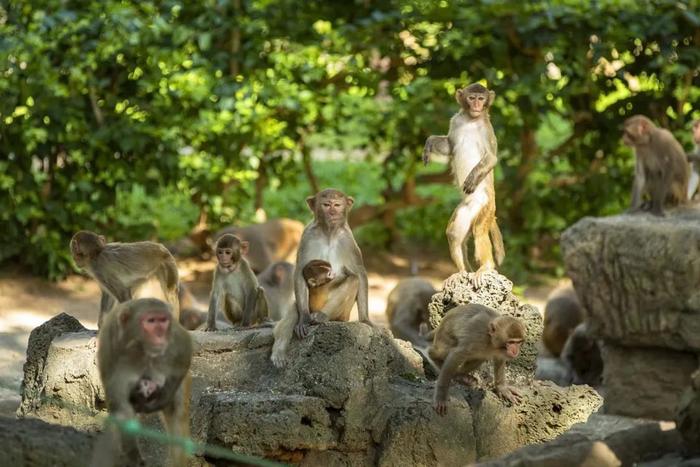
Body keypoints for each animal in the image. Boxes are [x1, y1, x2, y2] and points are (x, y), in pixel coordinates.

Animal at [91, 300, 194, 467]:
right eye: (151, 321)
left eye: (163, 320)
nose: (160, 334)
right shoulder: (111, 350)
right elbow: (121, 409)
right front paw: (134, 456)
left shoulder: (174, 334)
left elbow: (185, 347)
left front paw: (164, 397)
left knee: (178, 415)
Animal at [270, 187, 372, 370]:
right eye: (326, 205)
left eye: (337, 205)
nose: (332, 212)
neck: (329, 233)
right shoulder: (307, 235)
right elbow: (299, 271)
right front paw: (303, 318)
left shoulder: (348, 240)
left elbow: (359, 273)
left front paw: (365, 319)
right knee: (294, 310)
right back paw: (280, 351)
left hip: (343, 314)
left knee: (353, 279)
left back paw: (322, 316)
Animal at [422, 82, 504, 288]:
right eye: (471, 98)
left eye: (481, 99)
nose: (476, 105)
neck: (471, 120)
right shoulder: (456, 120)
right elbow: (450, 146)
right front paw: (429, 142)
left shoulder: (487, 130)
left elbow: (491, 158)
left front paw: (472, 178)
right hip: (466, 209)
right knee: (453, 233)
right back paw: (462, 272)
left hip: (485, 205)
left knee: (479, 231)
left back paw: (486, 267)